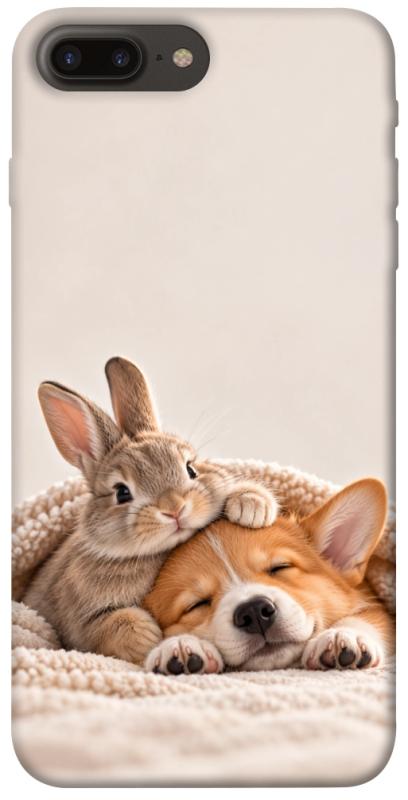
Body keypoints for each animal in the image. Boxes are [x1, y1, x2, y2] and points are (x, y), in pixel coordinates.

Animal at [23, 357, 279, 664]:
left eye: (191, 469)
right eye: (122, 492)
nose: (174, 509)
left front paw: (252, 506)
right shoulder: (80, 622)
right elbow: (111, 627)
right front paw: (150, 638)